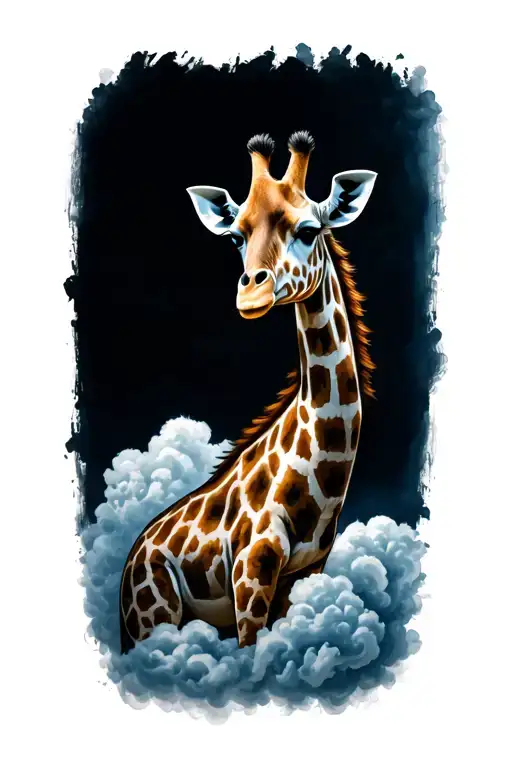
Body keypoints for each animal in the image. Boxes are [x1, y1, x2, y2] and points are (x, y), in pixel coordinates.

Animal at [119, 131, 377, 652]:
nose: (250, 294)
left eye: (309, 230)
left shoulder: (304, 574)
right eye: (237, 236)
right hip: (154, 614)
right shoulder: (250, 569)